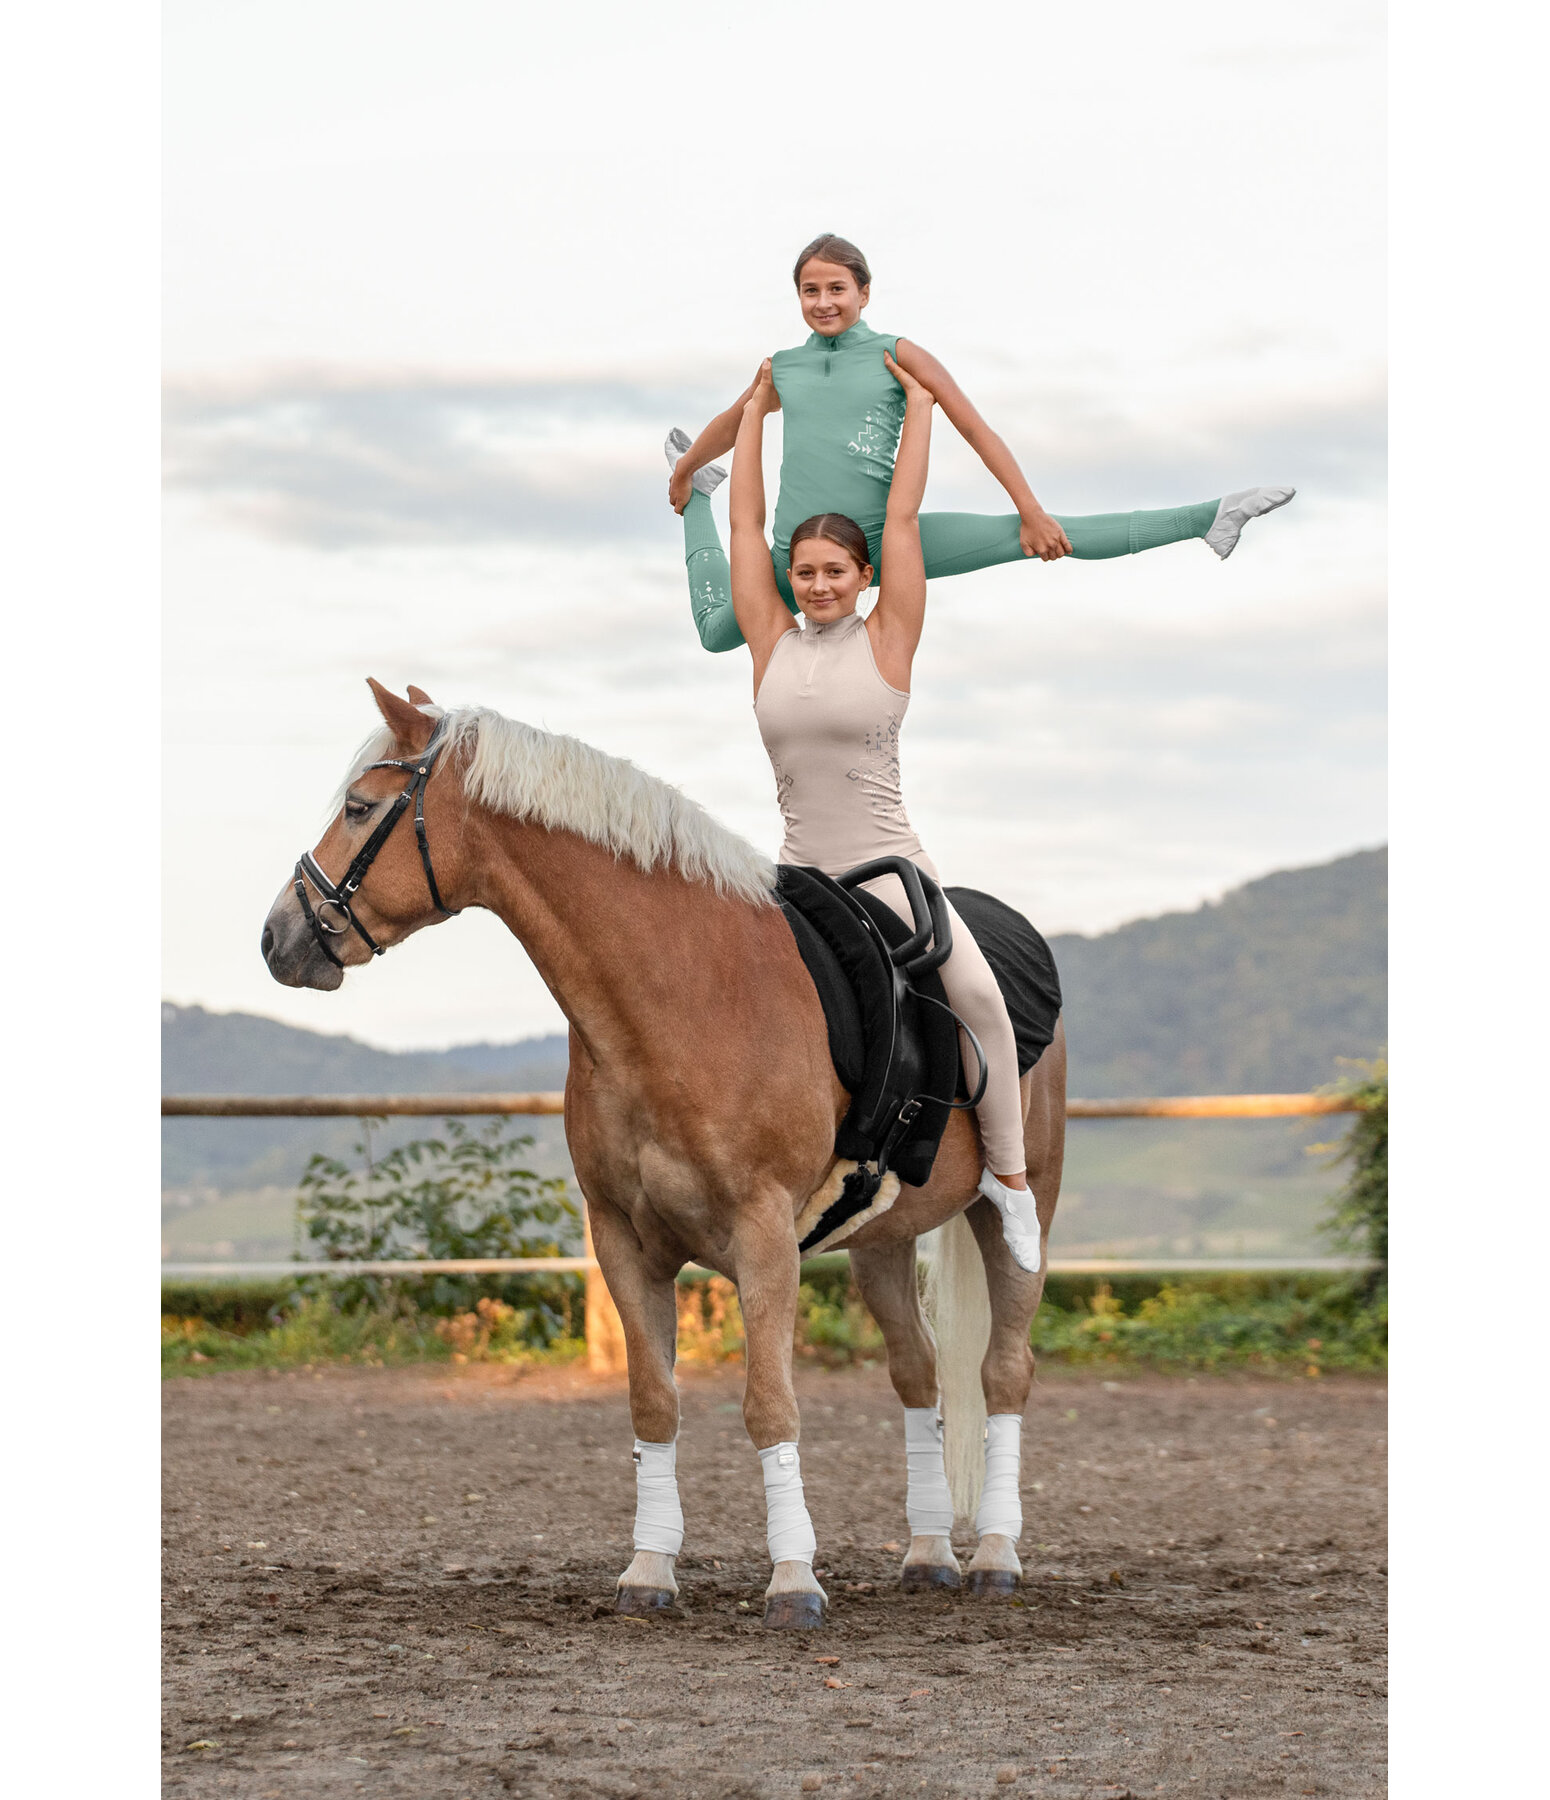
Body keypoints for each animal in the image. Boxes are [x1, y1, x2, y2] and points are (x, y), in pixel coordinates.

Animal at [266, 680, 1065, 1627]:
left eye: (359, 808)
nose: (277, 937)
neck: (680, 996)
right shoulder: (624, 1239)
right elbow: (653, 1404)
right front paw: (649, 1570)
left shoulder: (764, 1238)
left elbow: (770, 1408)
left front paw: (793, 1580)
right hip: (882, 1238)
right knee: (921, 1372)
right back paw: (930, 1553)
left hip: (1017, 1212)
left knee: (1004, 1372)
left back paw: (996, 1556)